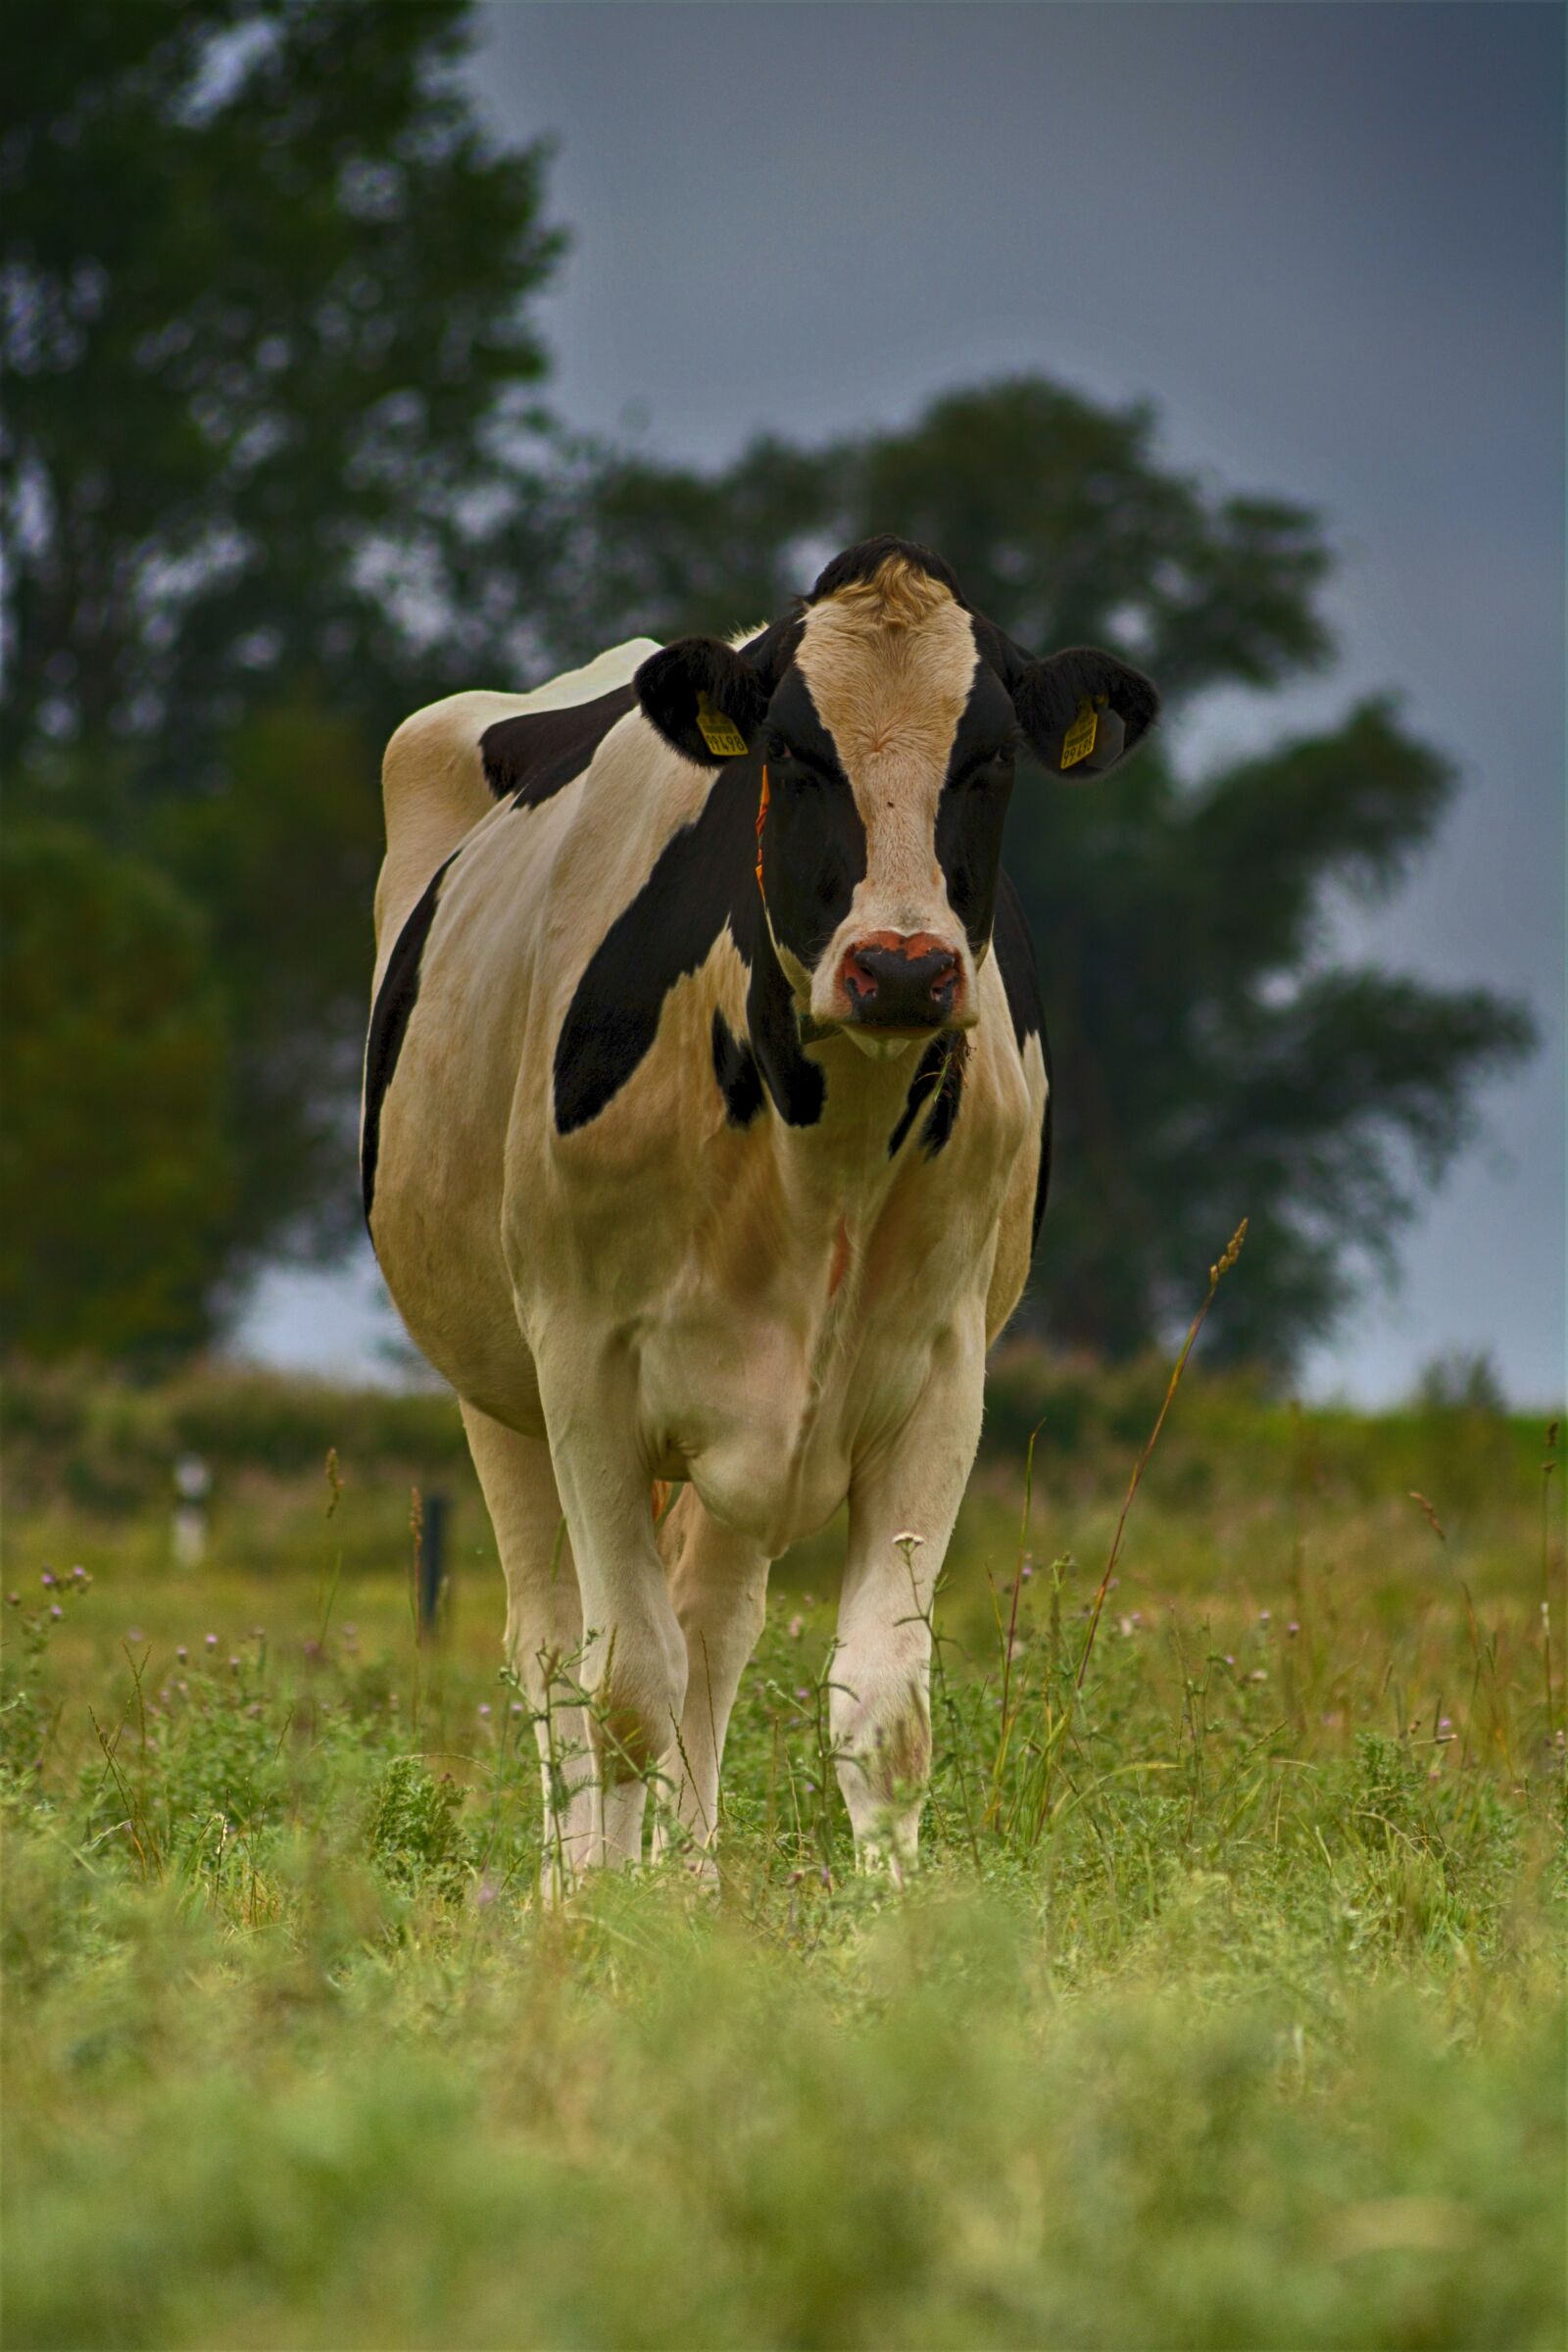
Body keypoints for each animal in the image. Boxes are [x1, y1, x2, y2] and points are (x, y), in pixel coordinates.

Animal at [362, 536, 1157, 1888]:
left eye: (991, 757)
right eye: (794, 753)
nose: (901, 968)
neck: (821, 1151)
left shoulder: (939, 1378)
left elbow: (882, 1704)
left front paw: (885, 1930)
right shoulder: (583, 1367)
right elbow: (621, 1687)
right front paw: (604, 1914)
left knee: (711, 1626)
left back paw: (691, 1880)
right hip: (494, 1382)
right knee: (551, 1648)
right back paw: (571, 1884)